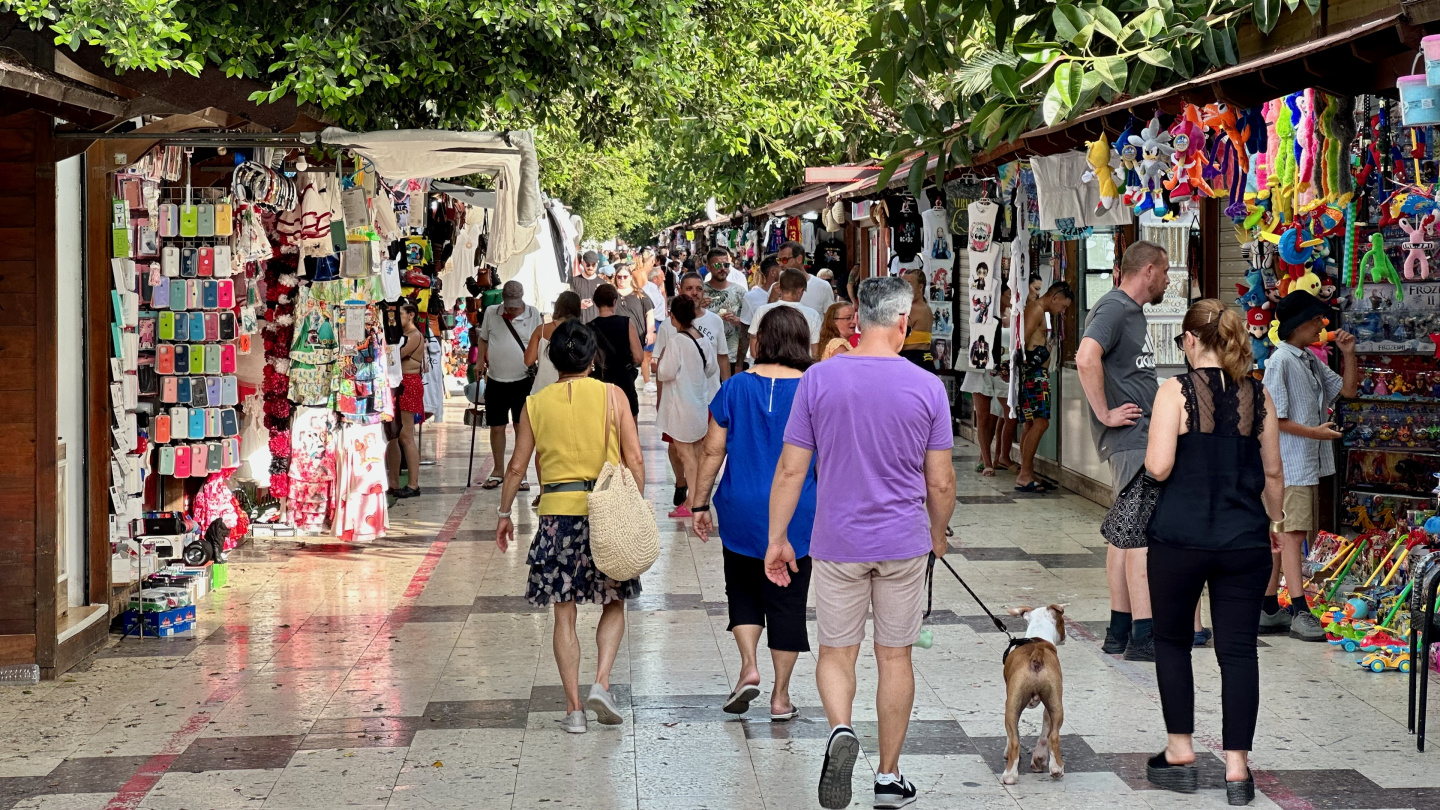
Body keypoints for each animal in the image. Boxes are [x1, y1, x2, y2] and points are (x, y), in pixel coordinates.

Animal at [1002, 599, 1071, 784]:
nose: (1066, 636)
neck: (1038, 637)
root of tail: (1036, 655)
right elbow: (1045, 731)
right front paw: (1040, 759)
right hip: (1055, 703)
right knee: (1053, 735)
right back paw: (1056, 769)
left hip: (1013, 704)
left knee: (1015, 740)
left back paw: (1010, 775)